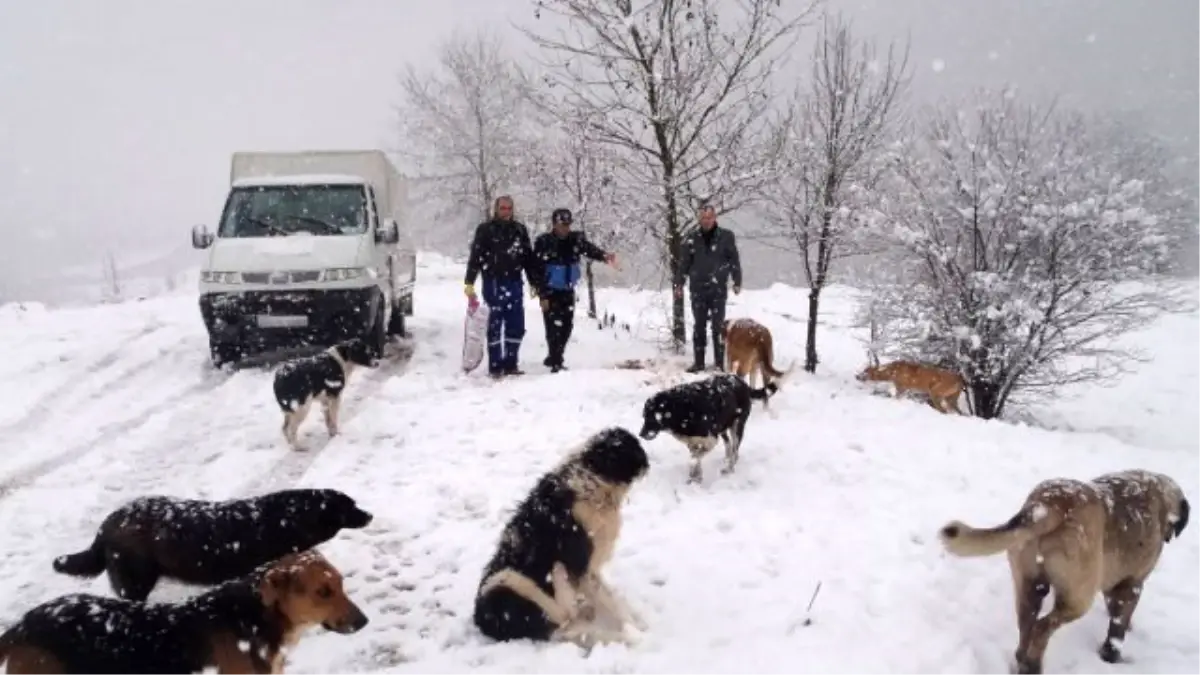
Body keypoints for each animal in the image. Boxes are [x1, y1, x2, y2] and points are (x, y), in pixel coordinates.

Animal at [638, 369, 777, 480]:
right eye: (644, 416)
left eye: (651, 417)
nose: (641, 435)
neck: (682, 410)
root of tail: (742, 383)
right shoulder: (692, 441)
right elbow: (696, 455)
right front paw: (695, 476)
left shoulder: (711, 439)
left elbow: (697, 457)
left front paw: (695, 472)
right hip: (722, 427)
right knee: (729, 444)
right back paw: (728, 458)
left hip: (737, 426)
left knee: (735, 446)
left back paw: (729, 468)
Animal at [936, 468, 1190, 672]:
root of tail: (1047, 506)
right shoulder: (1132, 584)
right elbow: (1117, 628)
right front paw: (1111, 656)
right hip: (1078, 597)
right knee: (1041, 628)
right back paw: (1033, 666)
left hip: (1029, 584)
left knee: (1027, 626)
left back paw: (1024, 661)